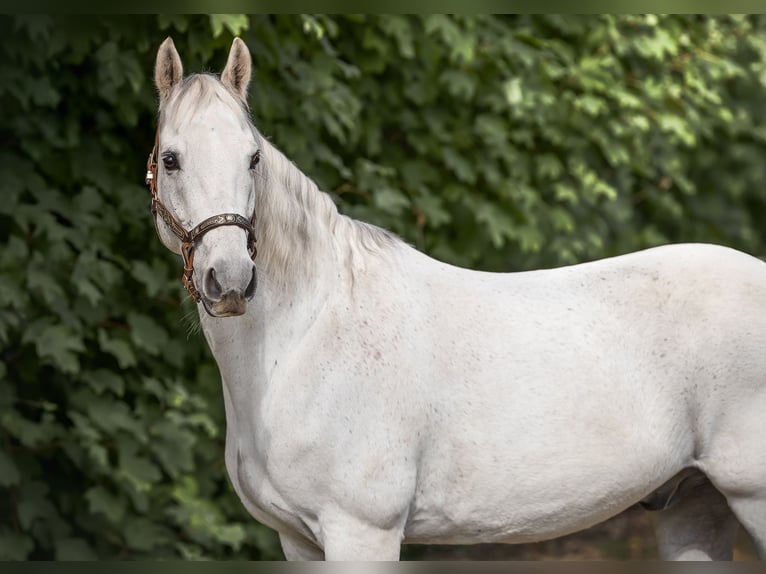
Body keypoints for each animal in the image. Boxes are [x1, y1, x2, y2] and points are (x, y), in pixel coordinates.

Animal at [146, 37, 766, 561]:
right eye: (171, 159)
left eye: (252, 158)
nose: (230, 279)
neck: (303, 338)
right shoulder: (298, 542)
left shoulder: (360, 532)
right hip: (695, 506)